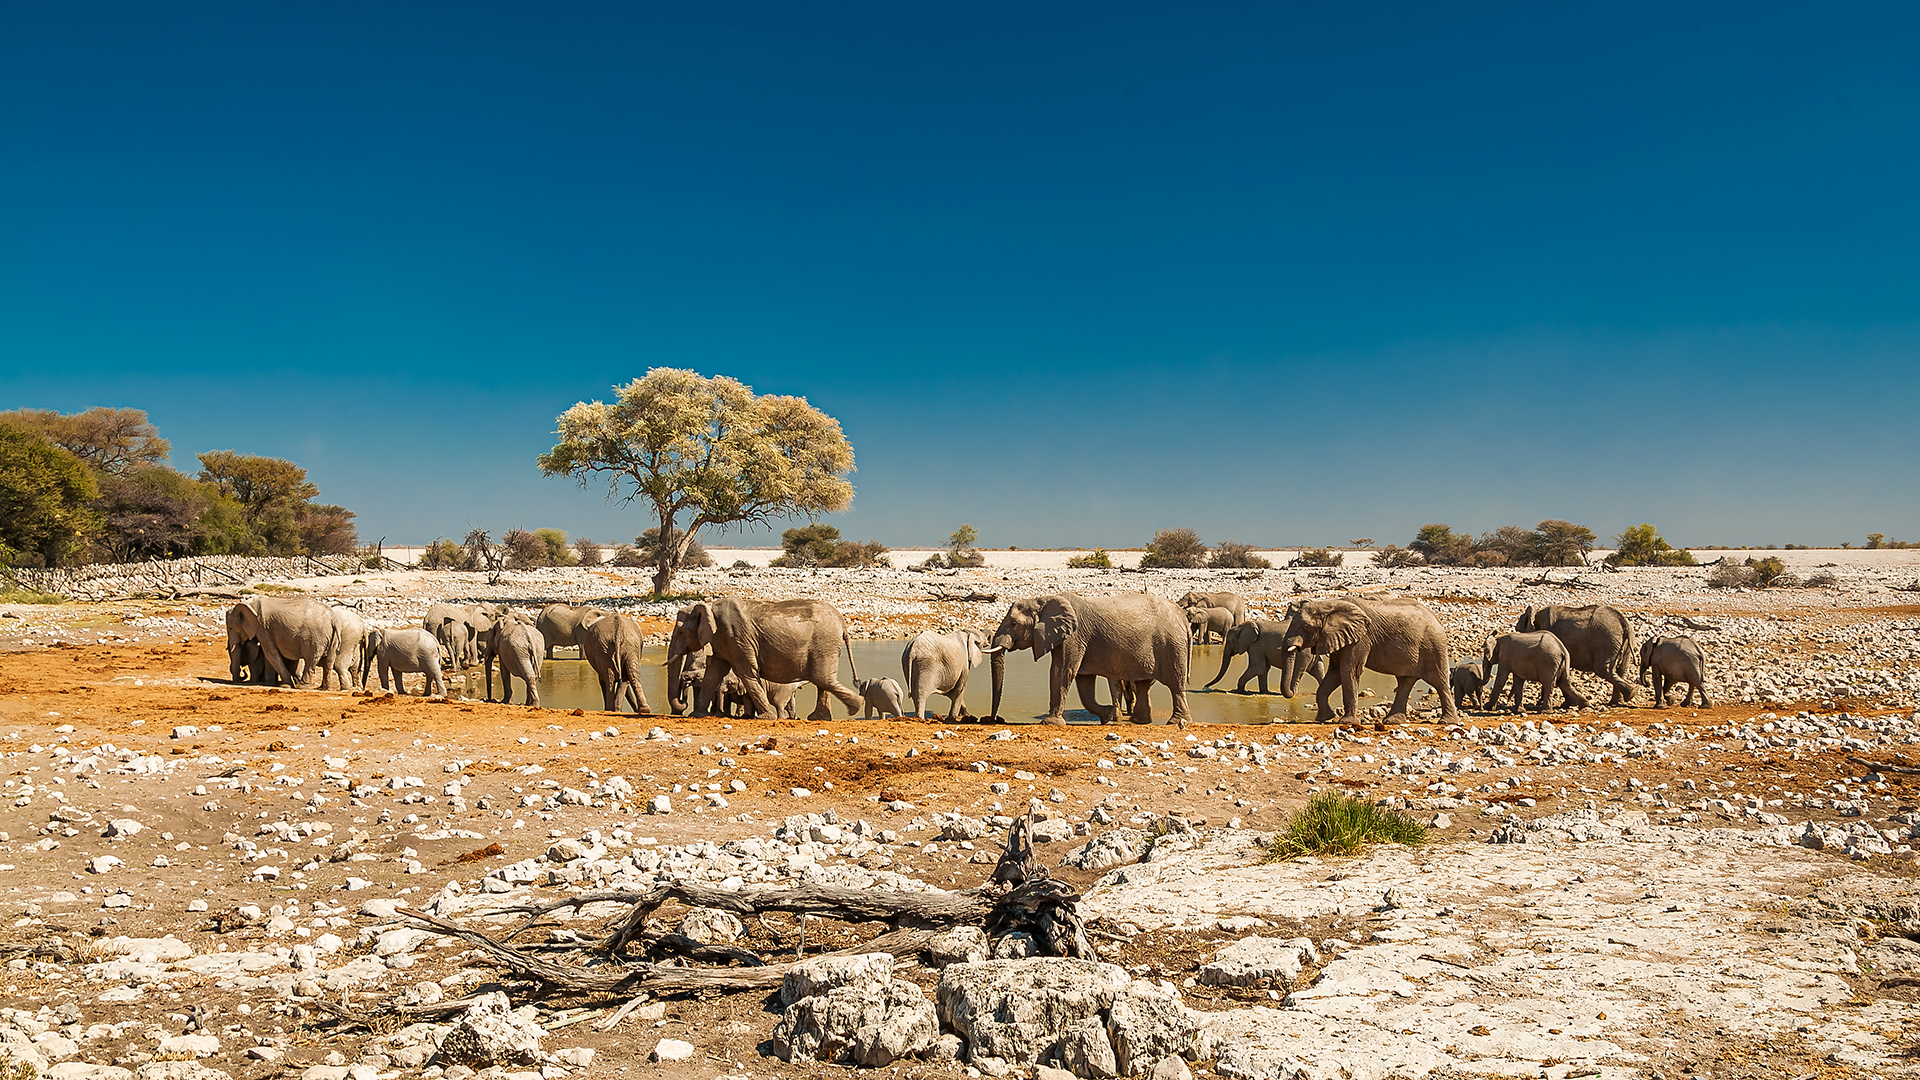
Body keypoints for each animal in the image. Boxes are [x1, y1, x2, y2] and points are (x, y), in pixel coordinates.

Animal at [667, 597, 861, 720]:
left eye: (680, 632)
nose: (683, 703)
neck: (709, 606)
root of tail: (843, 622)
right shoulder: (723, 639)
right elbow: (714, 671)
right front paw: (697, 715)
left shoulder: (737, 637)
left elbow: (746, 672)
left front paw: (767, 717)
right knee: (822, 680)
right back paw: (821, 717)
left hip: (824, 642)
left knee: (822, 678)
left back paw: (855, 707)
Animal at [985, 593, 1191, 727]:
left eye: (1014, 624)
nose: (994, 720)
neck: (1041, 600)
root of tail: (1183, 617)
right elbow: (1084, 682)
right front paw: (1107, 716)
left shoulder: (1073, 637)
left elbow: (1062, 672)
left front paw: (1050, 723)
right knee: (1143, 684)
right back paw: (1139, 721)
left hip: (1171, 645)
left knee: (1175, 685)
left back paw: (1176, 722)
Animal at [1279, 596, 1459, 723]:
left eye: (1305, 627)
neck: (1329, 603)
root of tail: (1437, 620)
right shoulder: (1339, 637)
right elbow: (1335, 672)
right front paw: (1325, 718)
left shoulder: (1361, 638)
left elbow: (1349, 670)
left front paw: (1347, 722)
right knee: (1405, 682)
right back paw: (1392, 721)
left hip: (1433, 646)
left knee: (1439, 682)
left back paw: (1447, 722)